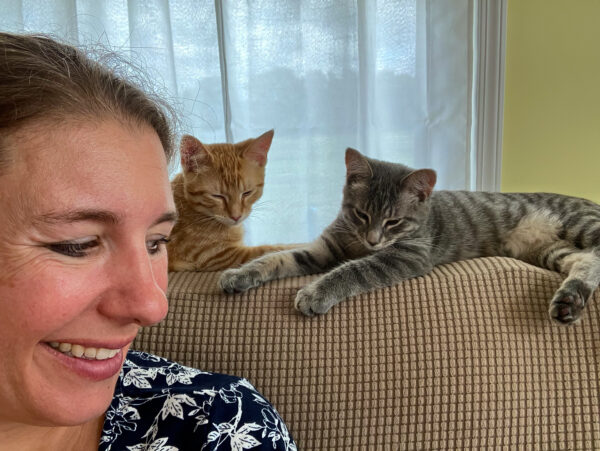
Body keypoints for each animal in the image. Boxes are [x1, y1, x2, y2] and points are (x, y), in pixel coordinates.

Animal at [220, 149, 600, 324]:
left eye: (393, 222)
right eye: (361, 214)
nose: (373, 240)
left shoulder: (407, 255)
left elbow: (352, 269)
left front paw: (315, 292)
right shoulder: (323, 248)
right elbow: (277, 258)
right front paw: (240, 274)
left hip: (582, 224)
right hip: (553, 250)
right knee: (588, 262)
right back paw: (569, 301)